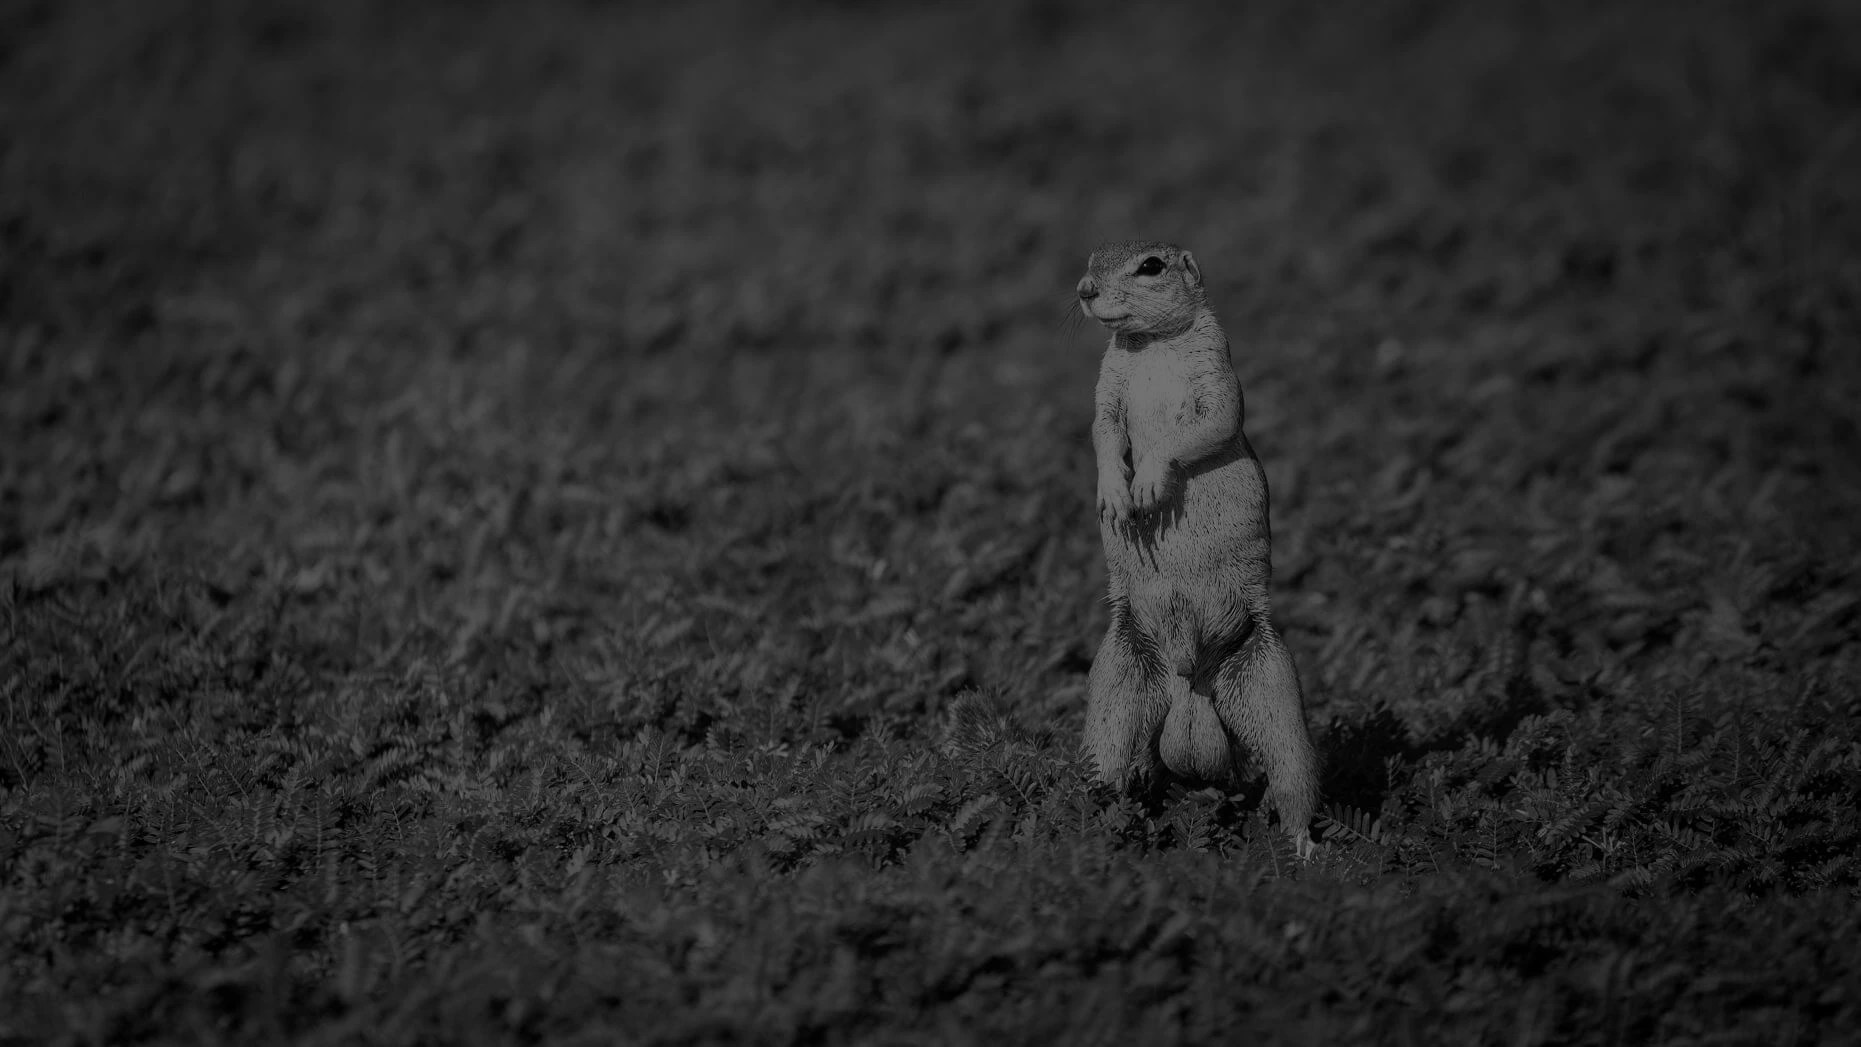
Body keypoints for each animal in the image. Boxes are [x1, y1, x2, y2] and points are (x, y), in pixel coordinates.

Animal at [1076, 240, 1317, 855]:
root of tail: (1189, 680)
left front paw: (1147, 484)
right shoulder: (1107, 380)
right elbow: (1102, 428)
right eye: (1091, 258)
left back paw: (1307, 849)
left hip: (1274, 698)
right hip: (1115, 690)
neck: (1152, 345)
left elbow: (1211, 420)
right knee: (1110, 770)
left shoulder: (1215, 364)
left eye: (1151, 266)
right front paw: (1114, 494)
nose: (1085, 290)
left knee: (1293, 785)